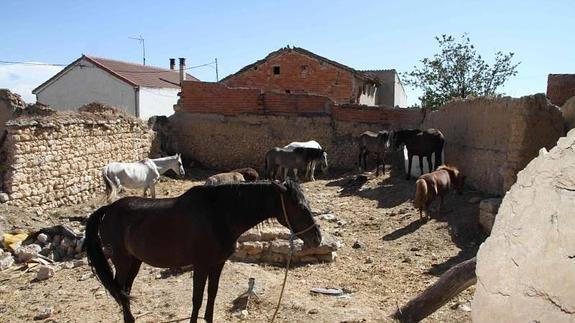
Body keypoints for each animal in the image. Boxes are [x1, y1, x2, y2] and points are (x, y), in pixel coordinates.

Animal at [83, 181, 322, 323]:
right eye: (300, 206)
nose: (317, 238)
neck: (219, 215)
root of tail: (109, 209)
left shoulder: (217, 264)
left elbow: (212, 294)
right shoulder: (200, 265)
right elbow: (197, 298)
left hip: (135, 261)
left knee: (124, 290)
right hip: (122, 261)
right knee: (120, 291)